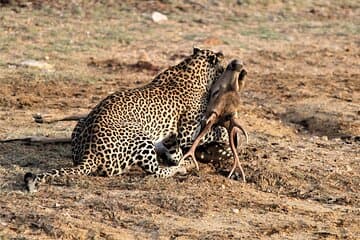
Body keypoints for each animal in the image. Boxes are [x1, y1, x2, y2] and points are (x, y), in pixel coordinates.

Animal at [24, 47, 231, 192]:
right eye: (224, 66)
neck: (192, 67)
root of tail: (89, 154)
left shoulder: (172, 136)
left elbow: (175, 151)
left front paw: (179, 159)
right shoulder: (188, 131)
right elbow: (212, 132)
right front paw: (223, 135)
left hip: (81, 124)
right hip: (141, 137)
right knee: (156, 172)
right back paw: (182, 167)